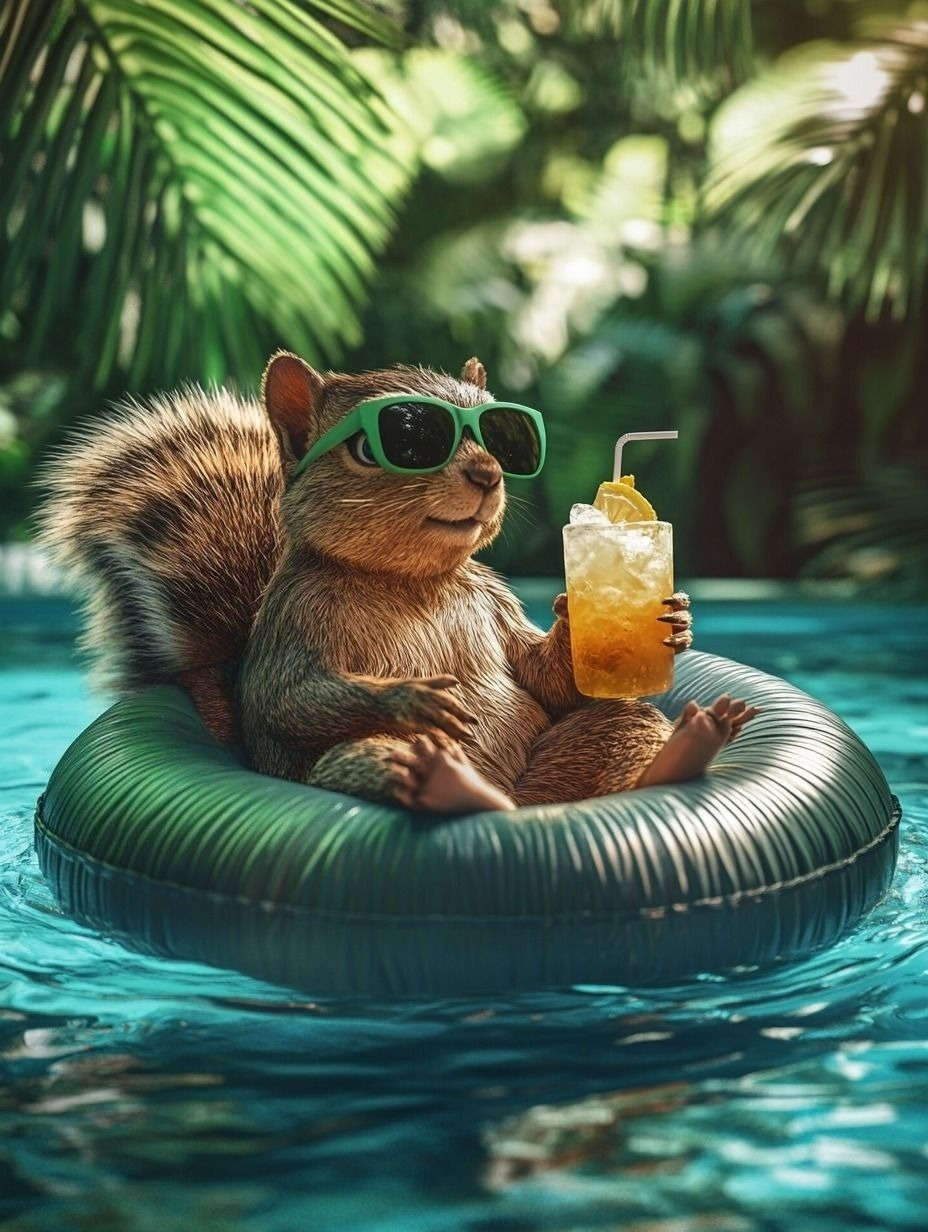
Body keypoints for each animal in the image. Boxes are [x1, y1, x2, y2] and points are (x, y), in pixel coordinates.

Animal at [40, 351, 757, 814]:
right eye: (395, 441)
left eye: (504, 435)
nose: (487, 475)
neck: (411, 582)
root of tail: (511, 802)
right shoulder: (293, 620)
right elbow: (285, 698)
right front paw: (412, 696)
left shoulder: (493, 600)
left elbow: (544, 678)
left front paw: (650, 618)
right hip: (367, 756)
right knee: (384, 762)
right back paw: (448, 785)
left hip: (601, 742)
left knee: (620, 729)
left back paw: (684, 749)